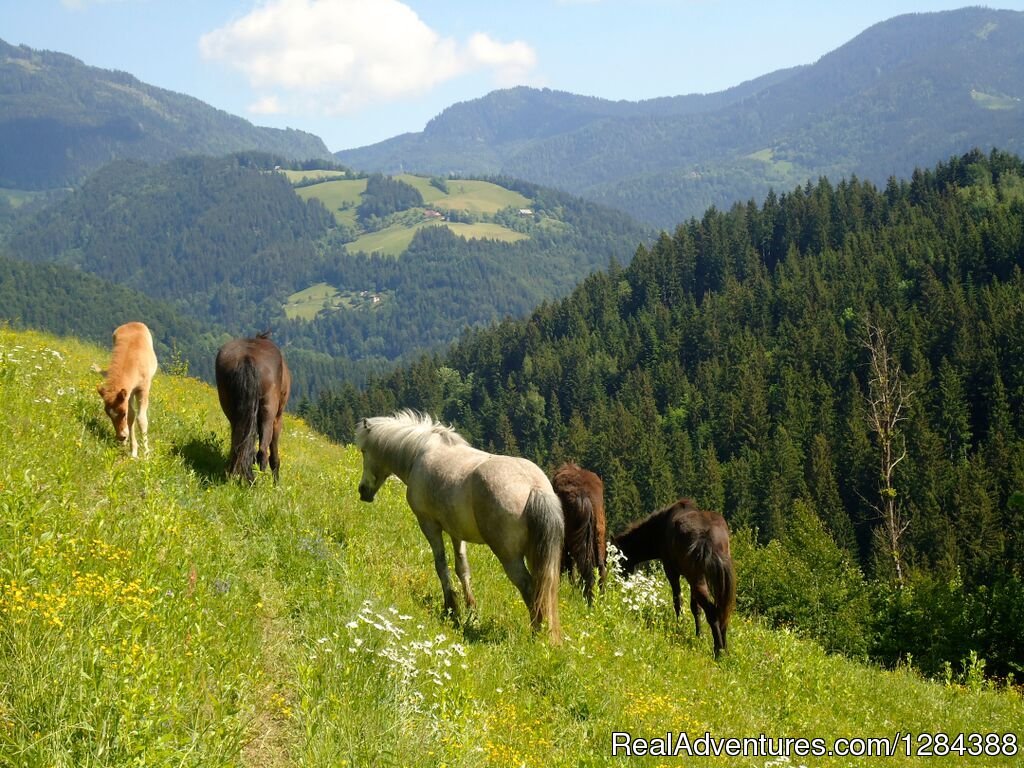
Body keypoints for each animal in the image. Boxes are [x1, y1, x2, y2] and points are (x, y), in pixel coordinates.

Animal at [96, 321, 156, 460]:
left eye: (122, 414)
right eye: (108, 414)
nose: (121, 436)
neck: (134, 361)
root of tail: (133, 322)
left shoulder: (143, 389)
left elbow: (141, 419)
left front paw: (146, 454)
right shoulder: (127, 393)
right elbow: (132, 416)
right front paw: (133, 450)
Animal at [215, 333, 290, 483]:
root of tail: (247, 358)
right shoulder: (277, 419)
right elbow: (274, 454)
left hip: (232, 411)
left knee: (236, 445)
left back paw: (233, 475)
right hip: (269, 413)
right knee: (263, 451)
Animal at [358, 409, 569, 643]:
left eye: (364, 451)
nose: (363, 491)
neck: (420, 452)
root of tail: (534, 487)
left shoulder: (429, 525)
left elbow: (441, 565)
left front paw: (451, 607)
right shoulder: (456, 532)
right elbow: (462, 569)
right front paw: (471, 610)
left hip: (510, 557)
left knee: (531, 589)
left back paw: (536, 634)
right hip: (537, 555)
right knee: (545, 589)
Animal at [610, 501, 733, 659]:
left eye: (617, 559)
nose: (615, 583)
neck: (659, 529)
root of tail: (708, 537)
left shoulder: (671, 571)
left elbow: (678, 602)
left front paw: (680, 628)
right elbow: (695, 608)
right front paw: (698, 635)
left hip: (697, 580)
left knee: (713, 611)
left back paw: (718, 651)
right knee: (722, 610)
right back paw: (725, 648)